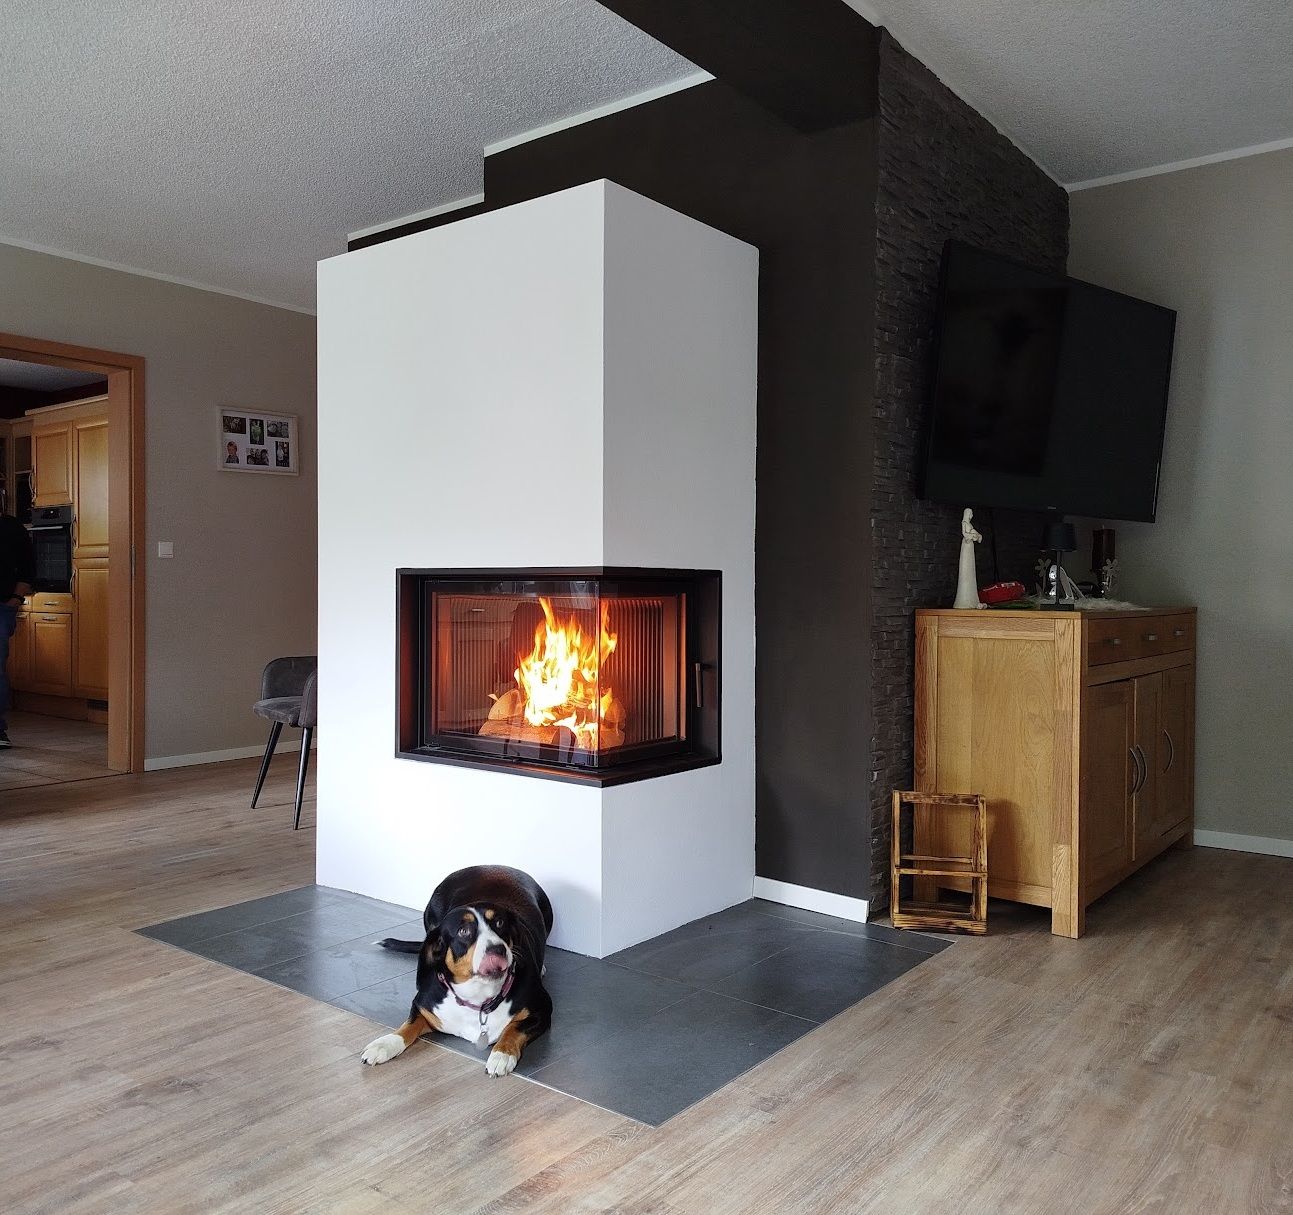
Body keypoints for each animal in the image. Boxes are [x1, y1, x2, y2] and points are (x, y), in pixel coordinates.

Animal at [360, 865, 553, 1077]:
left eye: (499, 923)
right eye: (464, 931)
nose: (498, 949)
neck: (478, 999)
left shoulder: (542, 1009)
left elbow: (515, 1028)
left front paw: (502, 1054)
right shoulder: (423, 1006)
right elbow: (408, 1025)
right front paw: (384, 1044)